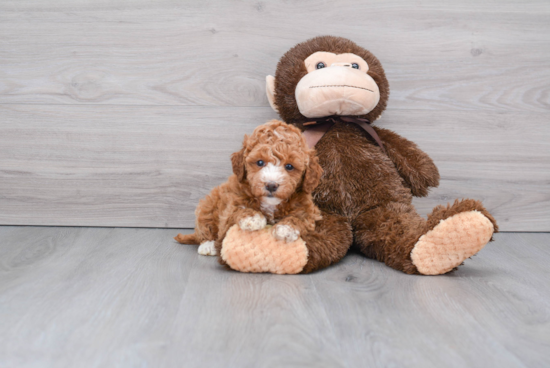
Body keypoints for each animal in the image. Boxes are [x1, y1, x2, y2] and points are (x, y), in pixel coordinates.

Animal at [176, 120, 324, 256]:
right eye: (260, 162)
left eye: (289, 166)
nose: (271, 185)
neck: (270, 205)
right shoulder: (229, 210)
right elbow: (237, 211)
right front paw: (253, 218)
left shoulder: (309, 211)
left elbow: (301, 217)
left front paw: (286, 228)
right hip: (209, 203)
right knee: (204, 224)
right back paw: (207, 245)